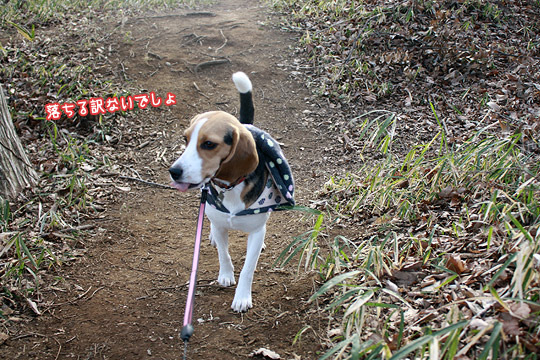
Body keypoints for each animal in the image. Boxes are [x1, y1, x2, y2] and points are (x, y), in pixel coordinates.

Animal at [170, 73, 294, 312]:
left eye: (209, 144)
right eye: (185, 139)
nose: (173, 172)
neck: (231, 187)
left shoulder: (256, 232)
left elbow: (248, 268)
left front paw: (242, 297)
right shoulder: (219, 224)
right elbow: (223, 253)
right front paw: (226, 275)